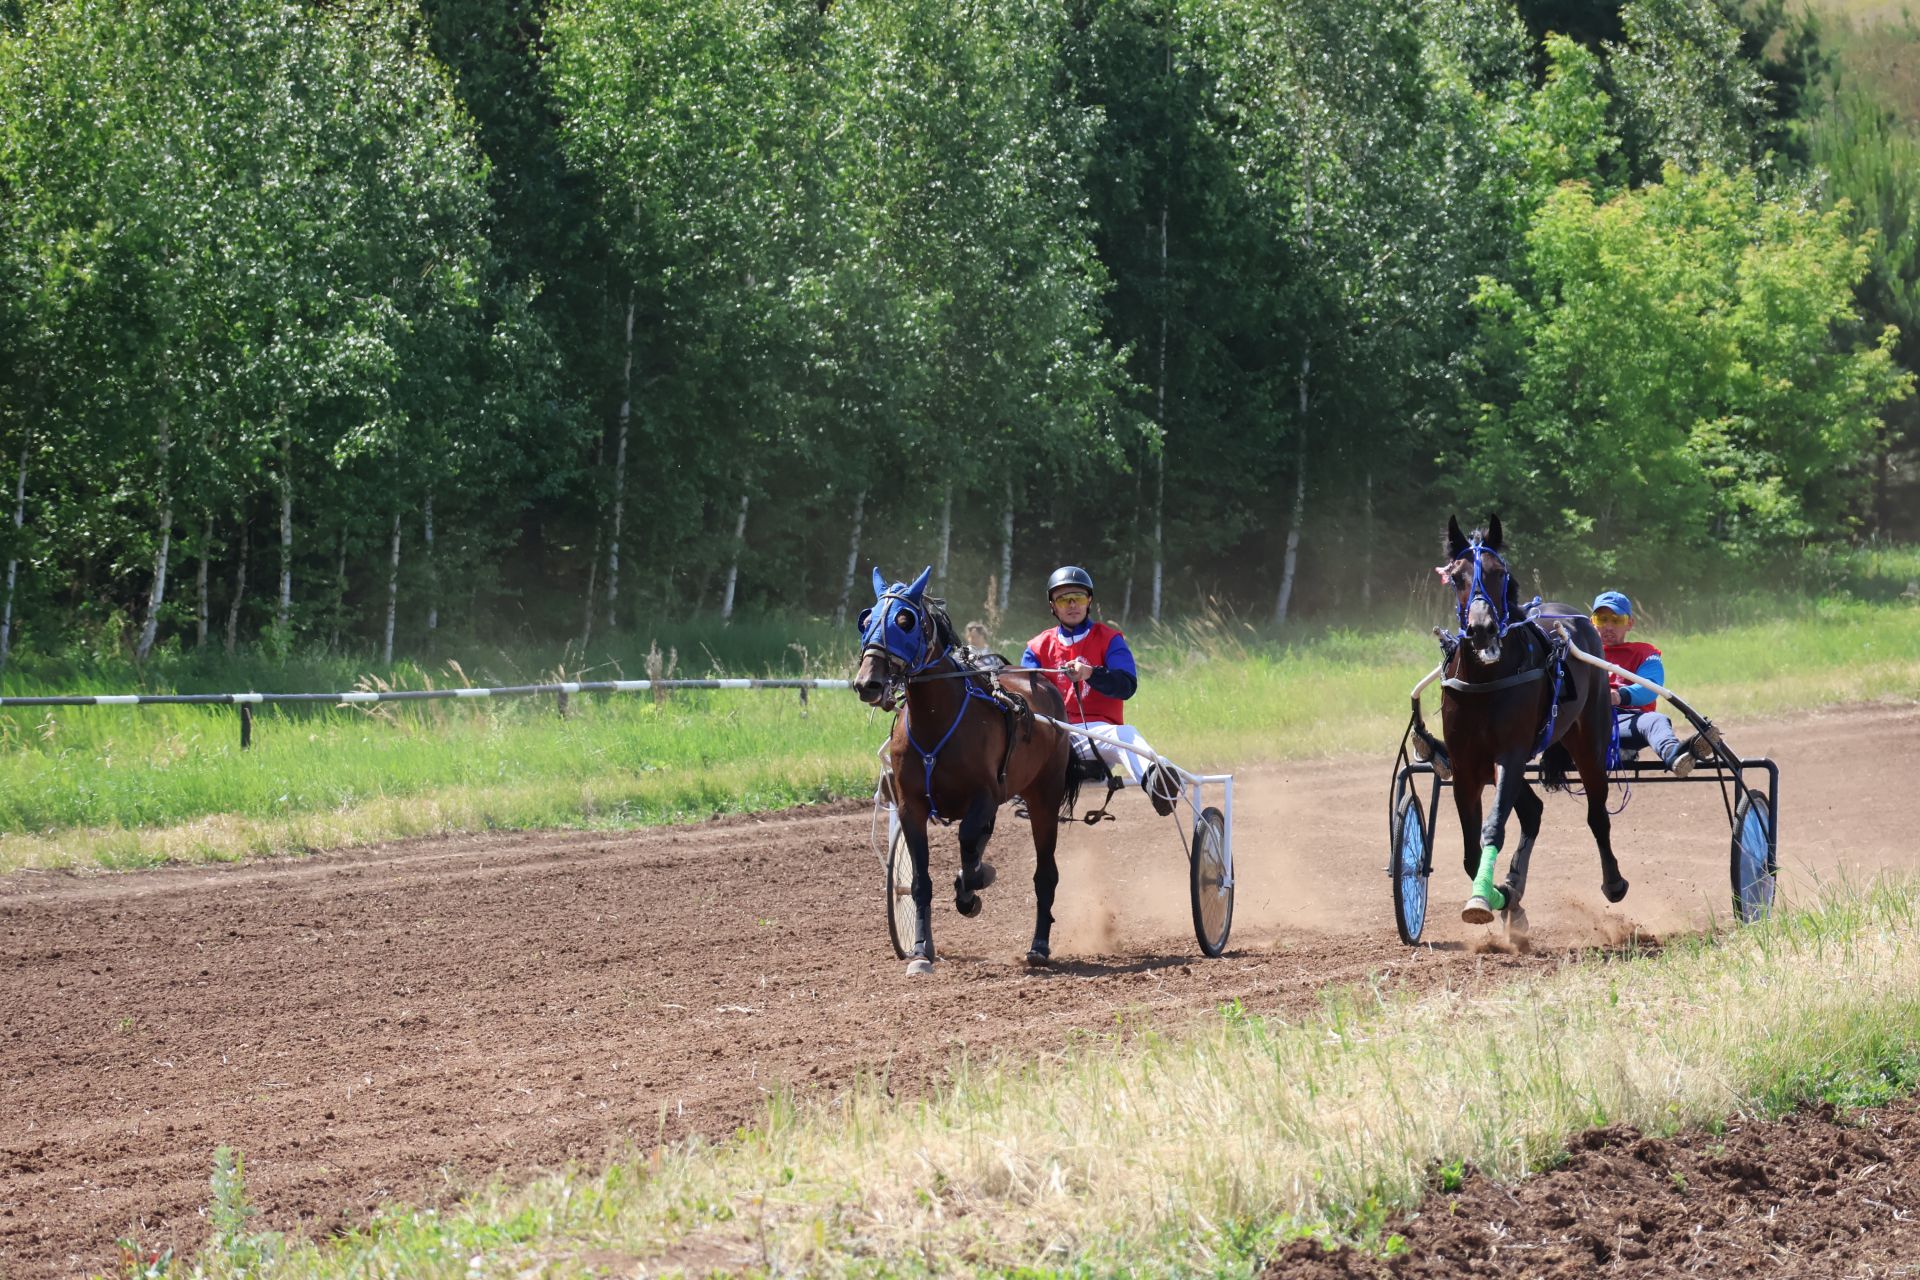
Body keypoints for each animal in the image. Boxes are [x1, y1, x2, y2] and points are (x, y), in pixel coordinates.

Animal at [856, 564, 1082, 974]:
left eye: (904, 620)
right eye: (866, 619)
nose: (869, 682)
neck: (937, 722)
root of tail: (1041, 680)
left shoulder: (985, 796)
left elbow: (968, 843)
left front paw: (973, 885)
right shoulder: (911, 805)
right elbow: (920, 880)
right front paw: (920, 951)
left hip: (1044, 795)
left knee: (1045, 874)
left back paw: (1039, 945)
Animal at [1436, 514, 1628, 924]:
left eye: (1499, 572)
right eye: (1457, 577)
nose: (1482, 629)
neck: (1486, 680)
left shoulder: (1510, 754)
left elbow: (1493, 827)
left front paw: (1485, 898)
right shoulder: (1466, 765)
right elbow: (1470, 852)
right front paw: (1499, 893)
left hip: (1590, 738)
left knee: (1597, 814)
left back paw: (1614, 882)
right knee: (1533, 811)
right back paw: (1513, 885)